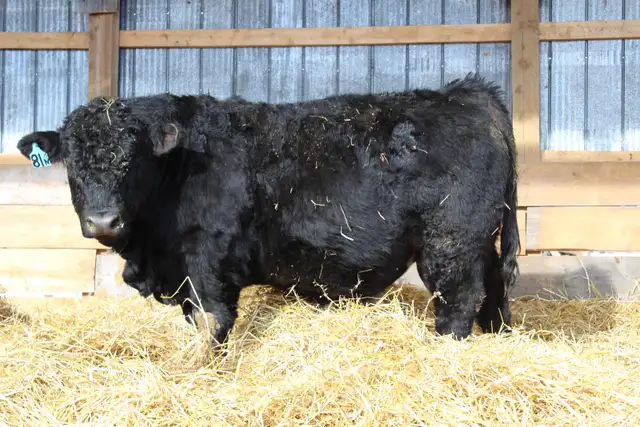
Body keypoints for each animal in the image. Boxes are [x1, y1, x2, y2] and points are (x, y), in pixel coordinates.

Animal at [16, 73, 520, 350]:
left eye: (132, 159)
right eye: (72, 164)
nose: (103, 221)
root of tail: (469, 93)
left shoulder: (208, 257)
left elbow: (213, 320)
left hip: (452, 241)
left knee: (459, 300)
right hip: (480, 240)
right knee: (495, 284)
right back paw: (499, 336)